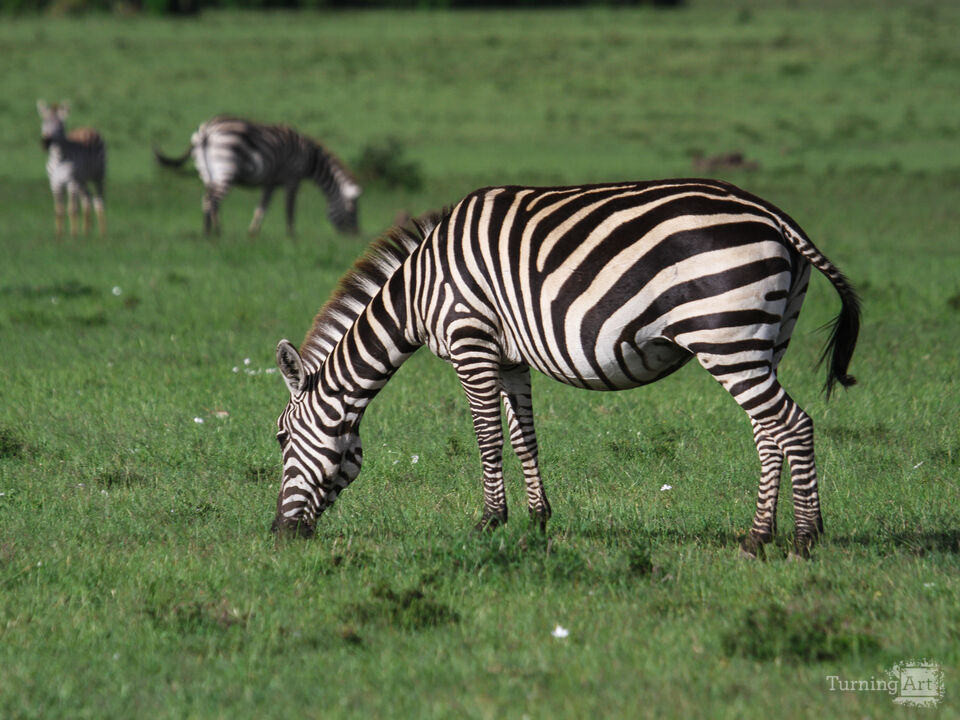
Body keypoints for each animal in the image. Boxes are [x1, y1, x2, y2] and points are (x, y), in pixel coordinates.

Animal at [37, 100, 106, 237]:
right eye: (45, 122)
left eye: (59, 125)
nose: (45, 142)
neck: (58, 158)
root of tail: (86, 127)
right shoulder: (55, 183)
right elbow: (59, 210)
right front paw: (59, 235)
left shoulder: (71, 182)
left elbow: (72, 209)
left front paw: (74, 236)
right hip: (82, 181)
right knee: (86, 199)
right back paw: (86, 232)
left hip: (98, 177)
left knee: (98, 201)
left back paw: (102, 234)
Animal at [154, 116, 361, 237]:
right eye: (352, 212)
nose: (356, 235)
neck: (310, 158)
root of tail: (205, 130)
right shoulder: (292, 177)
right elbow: (290, 208)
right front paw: (292, 235)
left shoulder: (271, 182)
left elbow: (262, 206)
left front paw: (253, 232)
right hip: (225, 165)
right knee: (212, 200)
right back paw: (217, 233)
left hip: (207, 171)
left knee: (207, 198)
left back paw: (209, 232)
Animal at [271, 179, 860, 557]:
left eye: (279, 439)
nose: (277, 533)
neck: (417, 292)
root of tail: (772, 213)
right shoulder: (509, 356)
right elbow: (523, 436)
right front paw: (537, 521)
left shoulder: (470, 339)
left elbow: (487, 436)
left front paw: (488, 522)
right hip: (764, 339)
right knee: (769, 432)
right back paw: (760, 536)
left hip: (726, 335)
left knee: (792, 425)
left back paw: (801, 540)